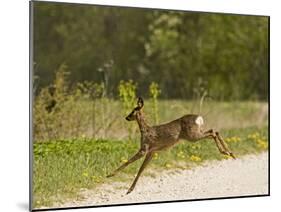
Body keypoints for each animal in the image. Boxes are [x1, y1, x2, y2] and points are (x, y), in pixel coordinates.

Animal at [106, 97, 234, 195]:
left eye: (133, 110)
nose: (126, 117)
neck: (145, 130)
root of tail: (199, 118)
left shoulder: (144, 148)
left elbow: (129, 162)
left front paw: (110, 175)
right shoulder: (152, 152)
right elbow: (141, 170)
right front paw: (129, 190)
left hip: (192, 136)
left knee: (213, 132)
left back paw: (227, 152)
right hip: (196, 133)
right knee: (214, 131)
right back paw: (230, 153)